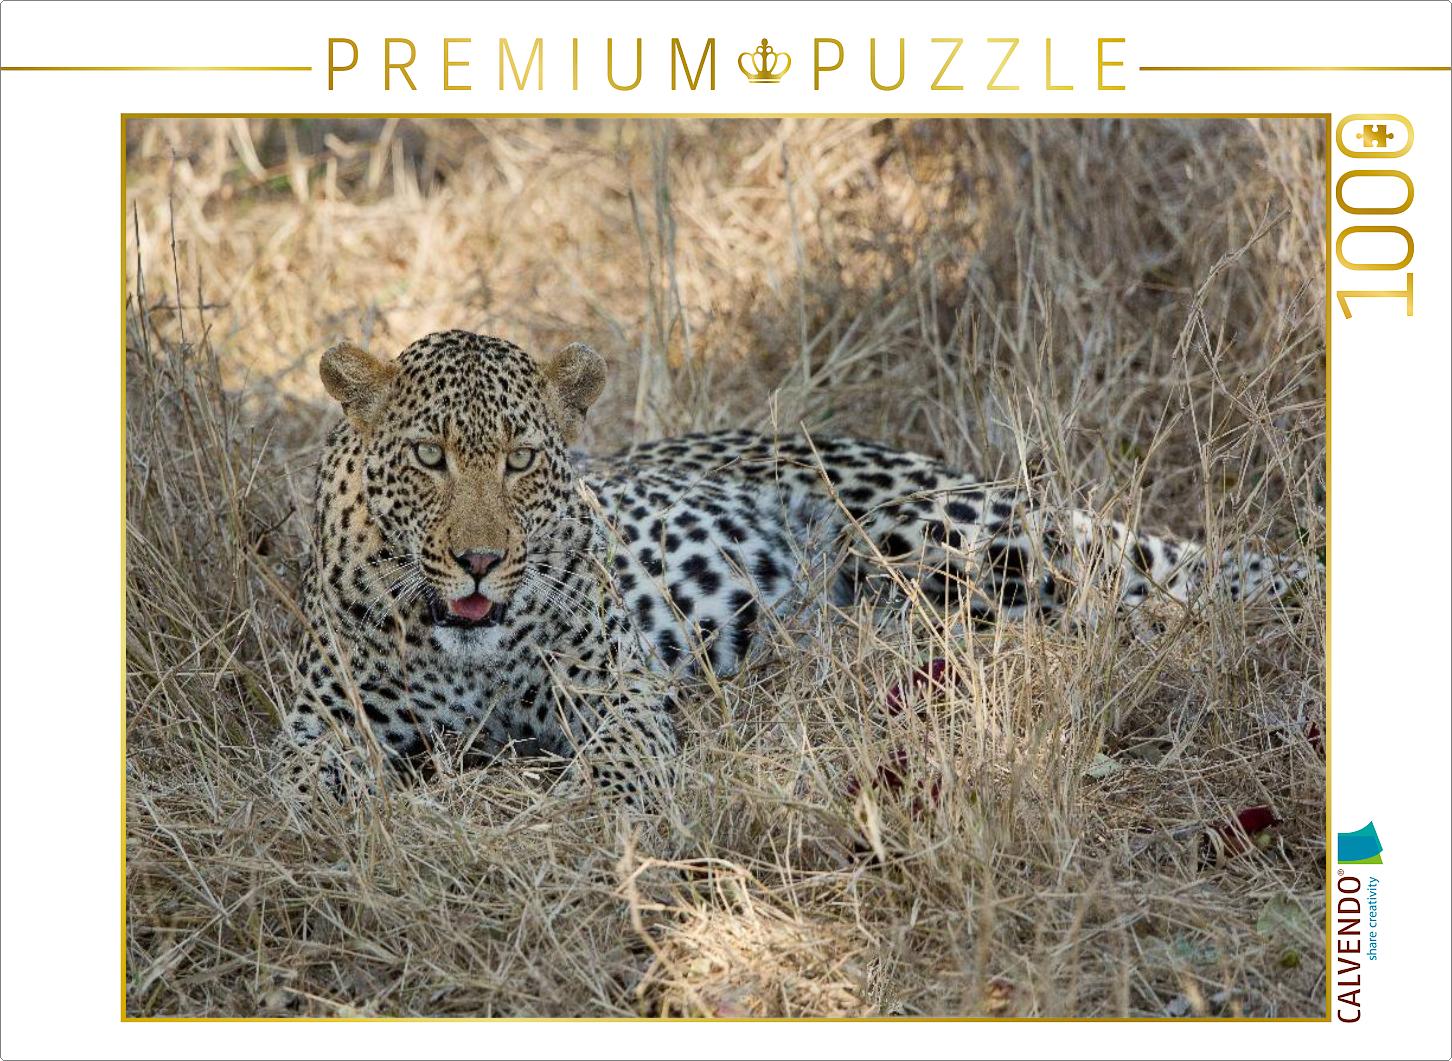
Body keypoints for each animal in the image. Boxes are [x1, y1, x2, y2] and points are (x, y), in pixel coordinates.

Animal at [282, 329, 1315, 803]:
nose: (480, 560)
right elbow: (303, 783)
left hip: (946, 540)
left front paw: (589, 810)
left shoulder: (617, 689)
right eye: (430, 457)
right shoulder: (317, 720)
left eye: (522, 459)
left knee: (1150, 593)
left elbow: (620, 759)